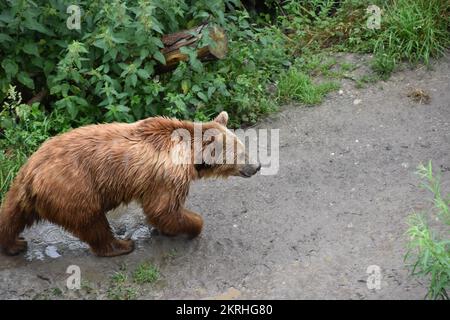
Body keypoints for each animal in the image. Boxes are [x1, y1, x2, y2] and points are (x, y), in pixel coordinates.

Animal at [0, 111, 260, 256]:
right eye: (242, 153)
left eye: (245, 148)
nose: (257, 166)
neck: (190, 153)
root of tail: (32, 174)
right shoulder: (167, 176)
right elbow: (164, 209)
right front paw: (194, 225)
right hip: (74, 188)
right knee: (92, 221)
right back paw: (121, 245)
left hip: (23, 188)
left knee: (11, 216)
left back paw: (14, 244)